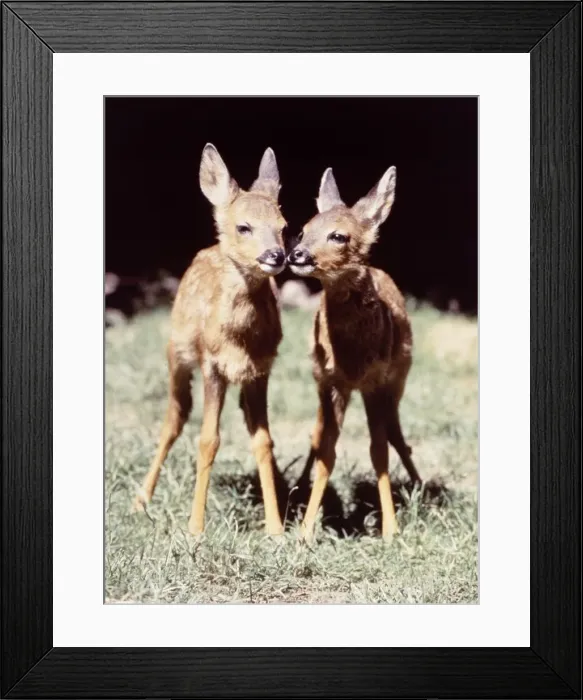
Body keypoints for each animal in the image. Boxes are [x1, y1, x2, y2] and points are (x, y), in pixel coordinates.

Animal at [133, 144, 287, 536]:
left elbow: (263, 441)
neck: (238, 339)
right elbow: (207, 440)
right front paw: (195, 527)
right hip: (175, 353)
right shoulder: (211, 366)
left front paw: (276, 528)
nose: (276, 256)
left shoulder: (260, 370)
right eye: (244, 226)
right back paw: (140, 499)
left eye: (284, 226)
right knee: (174, 418)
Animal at [287, 165, 422, 542]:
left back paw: (419, 485)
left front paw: (390, 529)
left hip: (399, 378)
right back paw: (298, 488)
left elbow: (379, 453)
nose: (296, 254)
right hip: (321, 382)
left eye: (339, 236)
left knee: (396, 434)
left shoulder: (376, 381)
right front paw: (305, 531)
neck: (353, 359)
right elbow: (327, 452)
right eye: (303, 229)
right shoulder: (333, 382)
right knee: (317, 434)